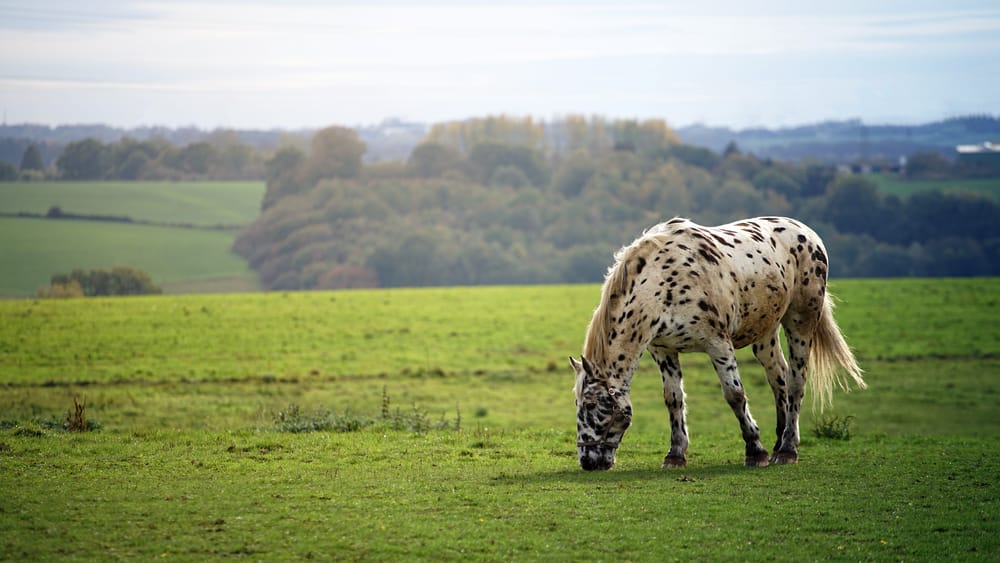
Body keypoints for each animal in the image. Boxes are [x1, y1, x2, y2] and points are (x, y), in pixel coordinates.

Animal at [572, 217, 868, 472]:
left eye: (592, 405)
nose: (588, 461)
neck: (664, 283)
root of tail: (808, 233)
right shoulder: (663, 350)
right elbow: (673, 399)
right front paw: (675, 455)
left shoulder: (719, 345)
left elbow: (735, 395)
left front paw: (755, 451)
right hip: (765, 334)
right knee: (779, 378)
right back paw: (779, 443)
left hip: (800, 323)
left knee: (796, 381)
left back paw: (787, 450)